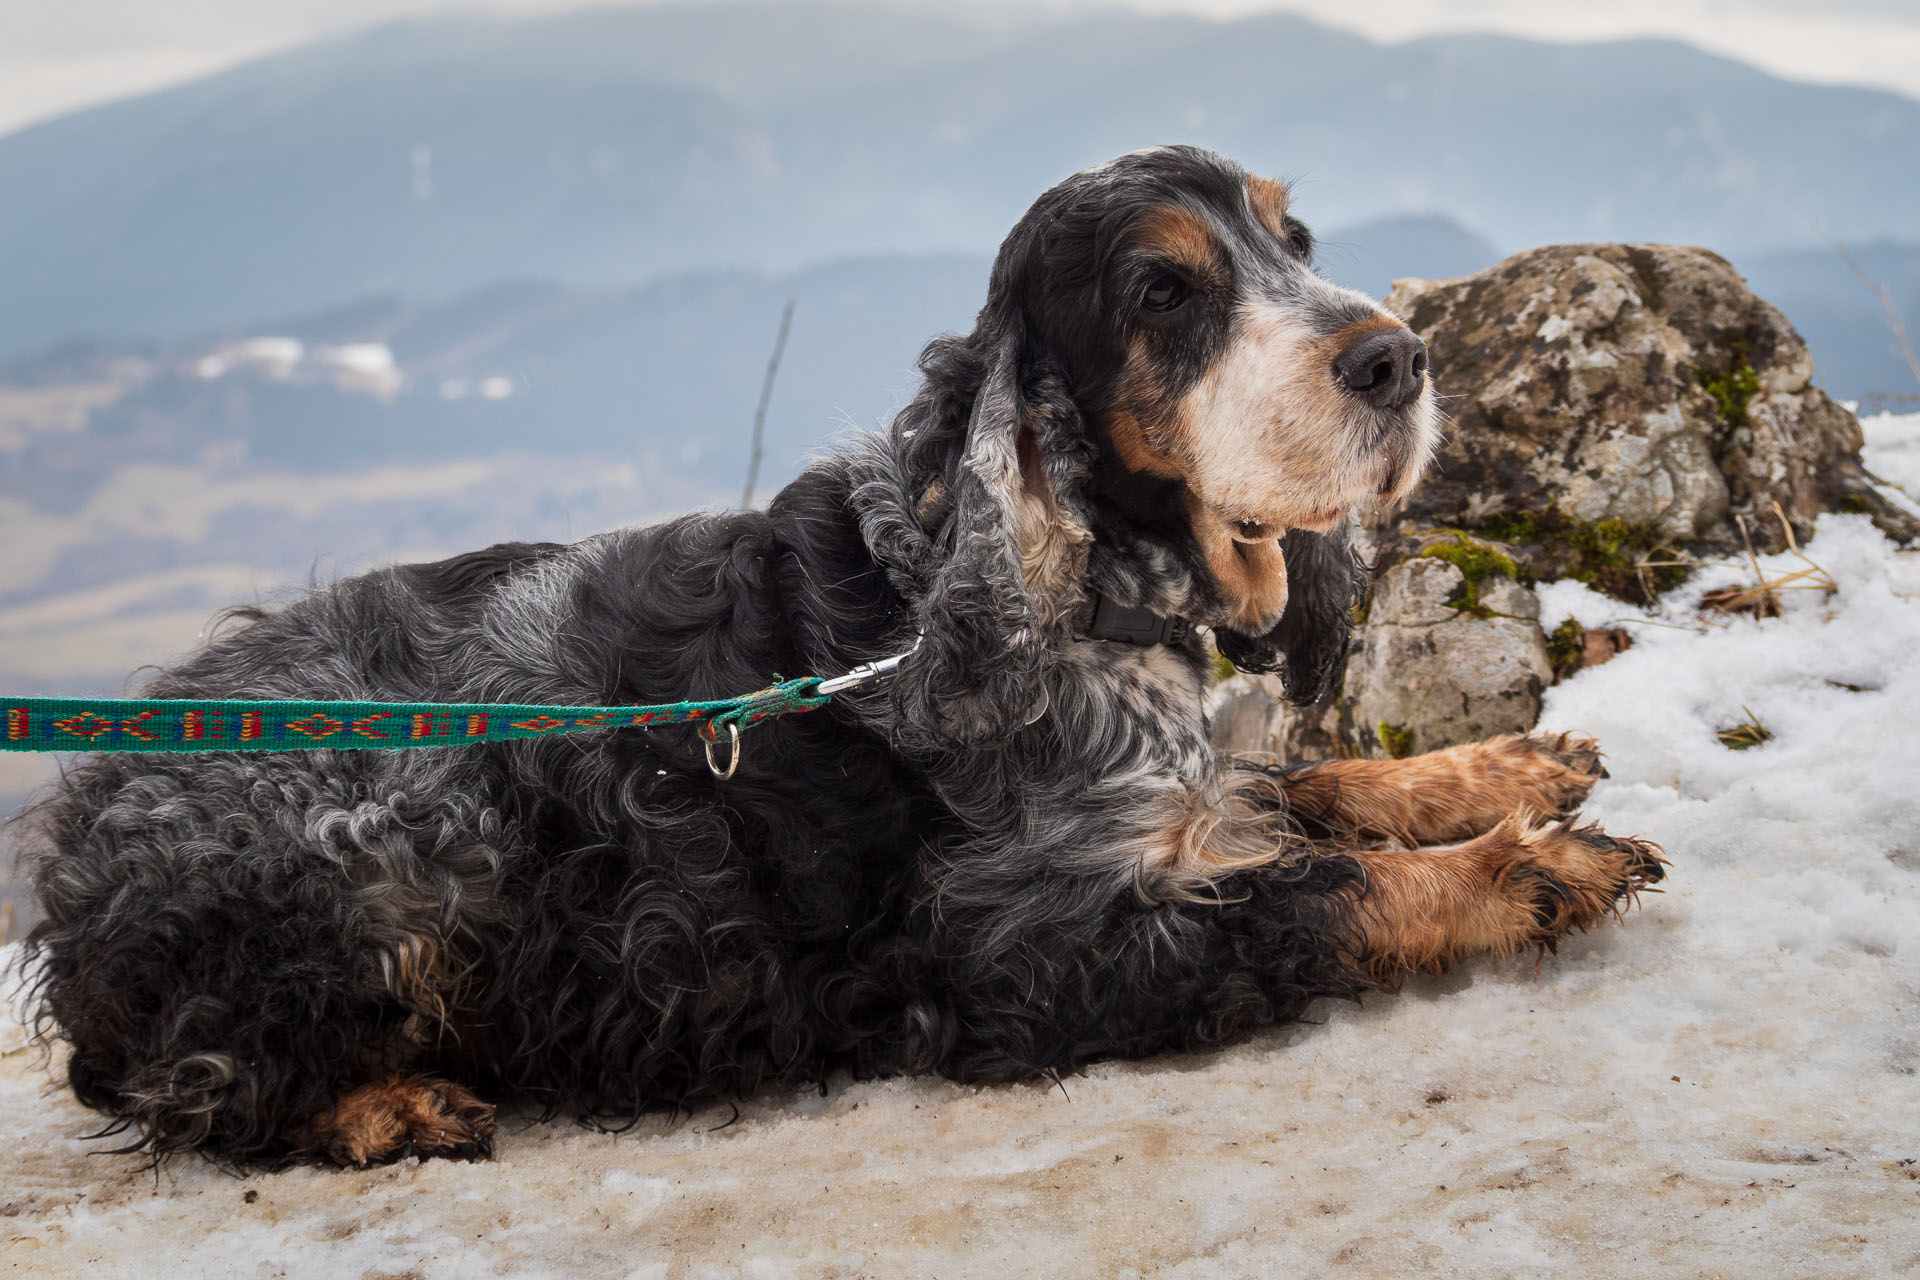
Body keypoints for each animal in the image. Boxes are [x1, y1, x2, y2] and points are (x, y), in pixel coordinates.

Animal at [18, 144, 1666, 1166]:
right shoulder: (1030, 955)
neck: (1067, 589)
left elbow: (1306, 791)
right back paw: (395, 1107)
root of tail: (90, 825)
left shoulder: (1184, 800)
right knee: (194, 1079)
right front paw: (1532, 866)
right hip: (387, 827)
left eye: (1295, 240)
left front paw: (1508, 767)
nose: (1399, 358)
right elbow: (1320, 892)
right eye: (1163, 291)